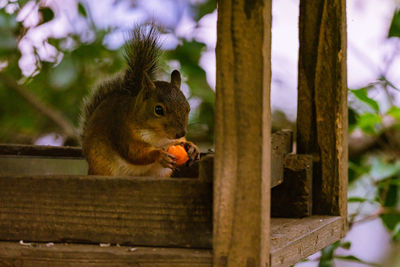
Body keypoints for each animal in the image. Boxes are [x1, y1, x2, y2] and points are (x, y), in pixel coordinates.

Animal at [79, 24, 200, 177]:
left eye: (188, 108)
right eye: (158, 109)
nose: (181, 133)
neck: (158, 136)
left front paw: (191, 146)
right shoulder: (123, 133)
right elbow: (135, 153)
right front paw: (159, 155)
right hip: (103, 165)